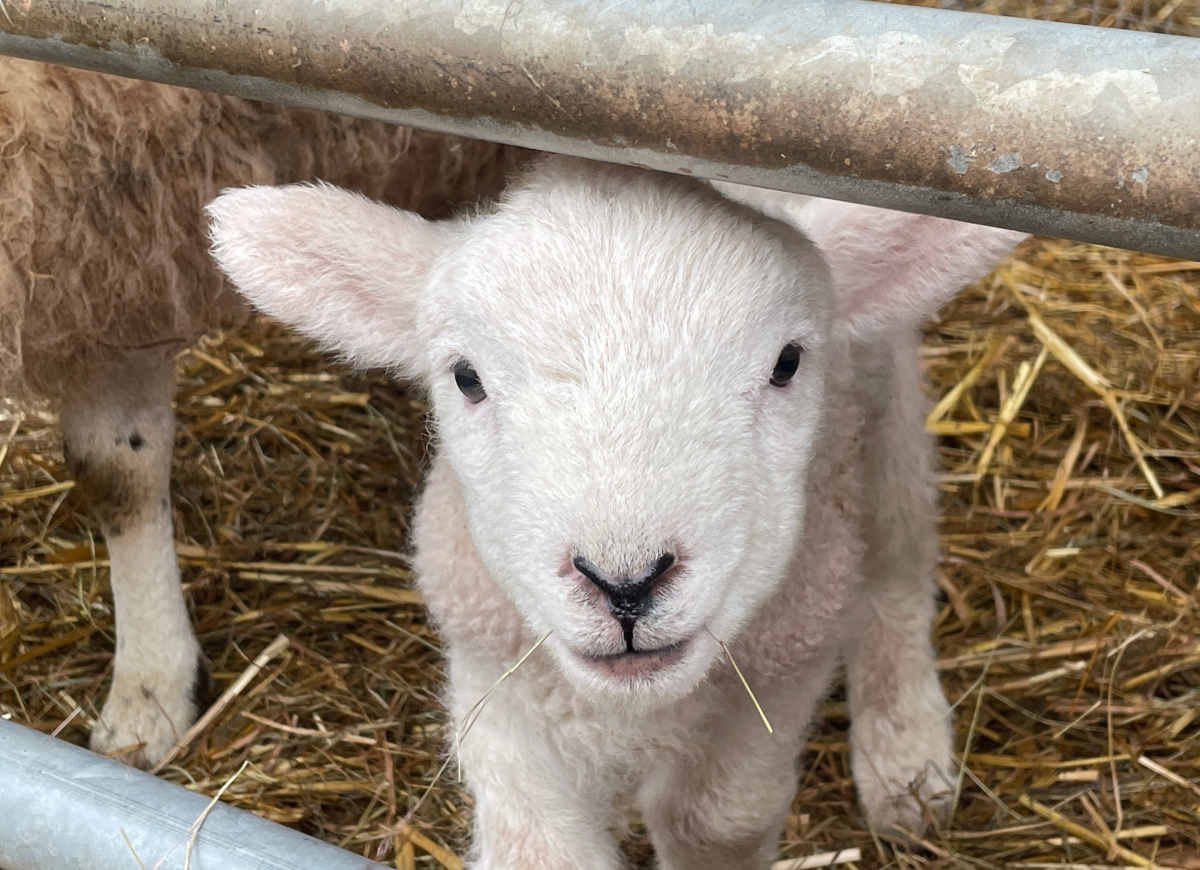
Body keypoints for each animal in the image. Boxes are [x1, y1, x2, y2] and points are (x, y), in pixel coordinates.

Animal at [208, 158, 1022, 868]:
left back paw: (906, 762)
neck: (632, 708)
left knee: (897, 569)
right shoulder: (495, 675)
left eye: (788, 363)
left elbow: (714, 822)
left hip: (883, 419)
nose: (625, 586)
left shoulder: (781, 668)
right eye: (465, 377)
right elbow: (540, 851)